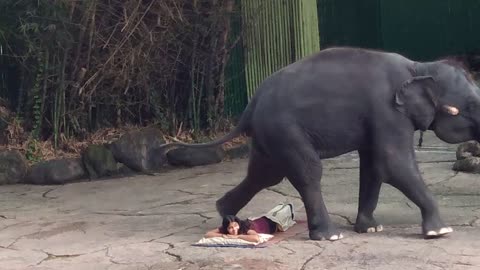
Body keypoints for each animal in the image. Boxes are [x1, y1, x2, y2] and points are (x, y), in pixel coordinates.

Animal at [164, 47, 480, 242]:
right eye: (470, 106)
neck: (418, 66)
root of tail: (250, 105)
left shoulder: (377, 119)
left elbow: (374, 167)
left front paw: (370, 229)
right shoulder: (387, 112)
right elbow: (393, 163)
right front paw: (441, 232)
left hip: (270, 135)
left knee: (265, 174)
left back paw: (227, 216)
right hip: (284, 129)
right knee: (307, 171)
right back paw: (330, 236)